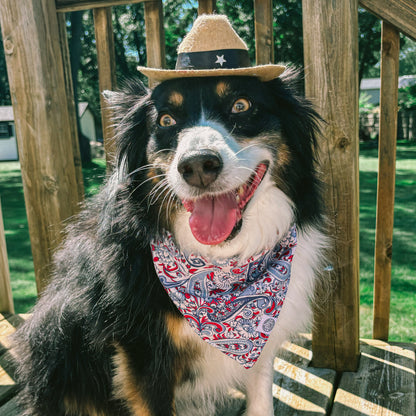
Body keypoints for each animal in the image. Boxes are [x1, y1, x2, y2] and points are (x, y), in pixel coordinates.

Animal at [12, 66, 324, 414]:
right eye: (165, 120)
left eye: (241, 105)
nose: (198, 165)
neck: (220, 262)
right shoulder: (143, 355)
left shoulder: (263, 342)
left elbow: (261, 399)